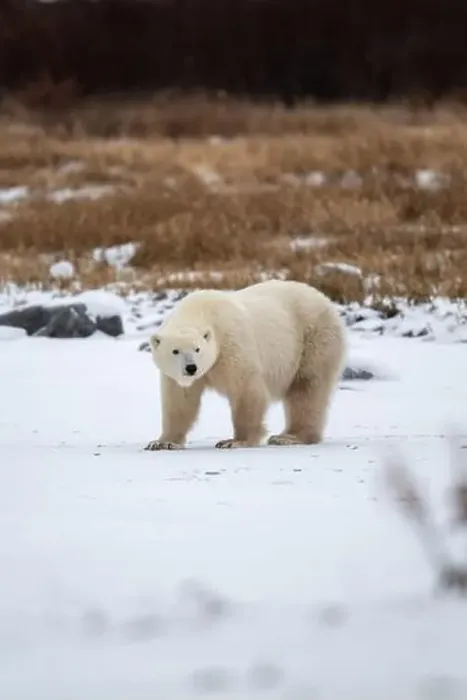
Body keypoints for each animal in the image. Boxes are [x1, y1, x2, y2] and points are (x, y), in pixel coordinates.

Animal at [145, 279, 347, 451]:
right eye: (175, 351)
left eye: (197, 349)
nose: (191, 368)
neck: (200, 310)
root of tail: (325, 300)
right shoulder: (180, 377)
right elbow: (180, 400)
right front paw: (162, 442)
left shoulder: (231, 343)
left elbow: (246, 389)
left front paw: (235, 441)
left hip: (314, 337)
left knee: (307, 388)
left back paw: (289, 437)